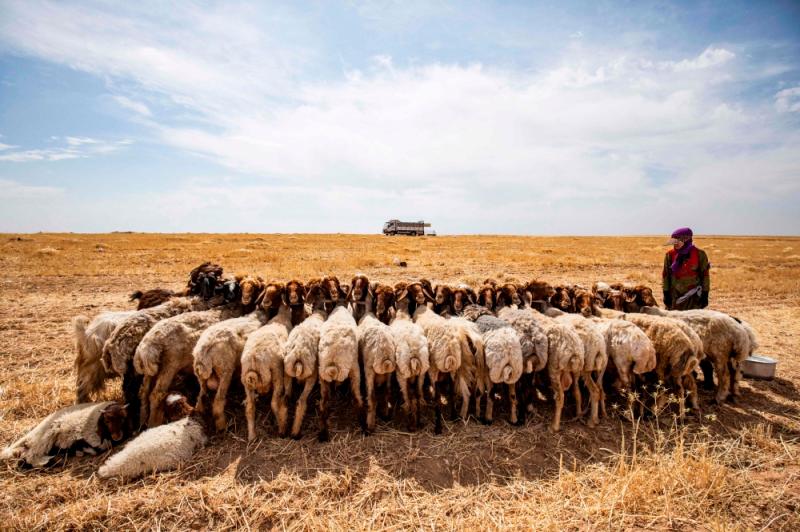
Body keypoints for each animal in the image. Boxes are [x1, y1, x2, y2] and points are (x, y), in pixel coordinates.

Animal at [192, 282, 284, 432]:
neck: (259, 314)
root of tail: (203, 353)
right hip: (225, 371)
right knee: (218, 402)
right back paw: (222, 426)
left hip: (201, 378)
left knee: (200, 398)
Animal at [241, 291, 294, 441]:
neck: (282, 316)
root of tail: (254, 360)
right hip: (276, 374)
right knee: (275, 404)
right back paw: (282, 428)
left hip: (245, 380)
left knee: (250, 408)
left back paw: (252, 436)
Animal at [283, 279, 326, 439]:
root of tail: (298, 354)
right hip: (311, 375)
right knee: (301, 402)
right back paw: (295, 432)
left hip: (287, 372)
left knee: (285, 400)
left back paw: (283, 430)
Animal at [317, 275, 363, 442]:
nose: (334, 292)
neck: (340, 306)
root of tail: (333, 361)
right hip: (354, 369)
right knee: (357, 399)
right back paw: (365, 427)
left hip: (322, 377)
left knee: (323, 404)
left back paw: (323, 434)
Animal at [389, 283, 430, 432]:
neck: (402, 316)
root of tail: (414, 354)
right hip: (422, 372)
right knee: (418, 396)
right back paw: (418, 422)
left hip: (402, 372)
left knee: (407, 399)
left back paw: (410, 425)